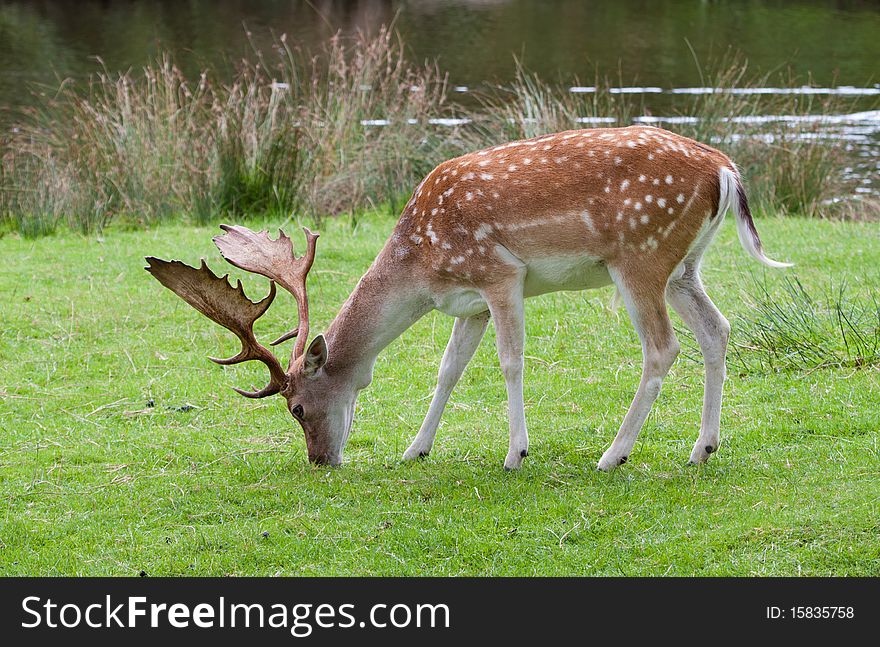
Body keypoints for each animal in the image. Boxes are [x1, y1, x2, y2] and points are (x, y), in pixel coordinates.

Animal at [146, 125, 792, 470]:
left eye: (298, 408)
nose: (320, 459)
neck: (423, 266)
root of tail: (727, 170)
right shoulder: (469, 302)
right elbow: (449, 369)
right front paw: (415, 449)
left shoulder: (499, 274)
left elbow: (510, 361)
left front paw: (516, 453)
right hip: (683, 266)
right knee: (717, 329)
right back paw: (702, 448)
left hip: (639, 257)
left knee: (663, 348)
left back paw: (614, 454)